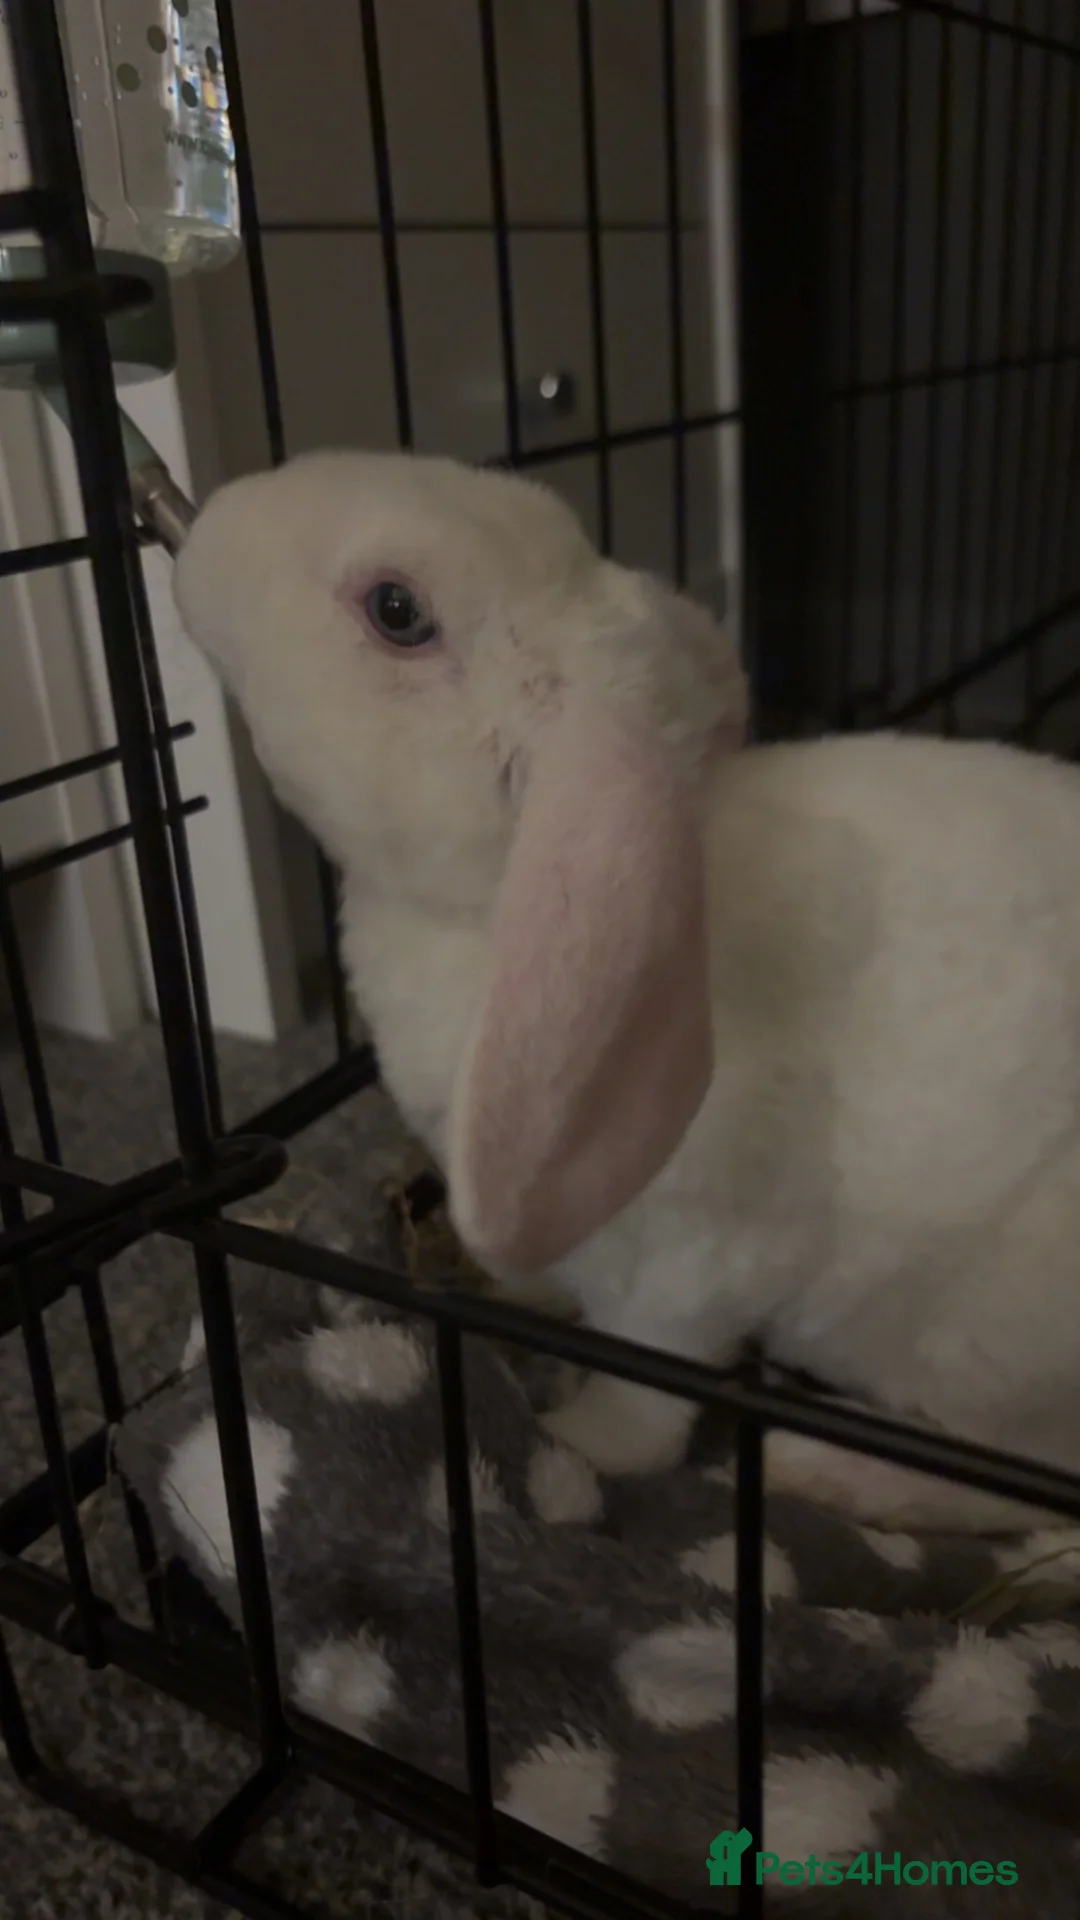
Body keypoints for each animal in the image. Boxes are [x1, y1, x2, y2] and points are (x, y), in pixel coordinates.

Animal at [174, 447, 1080, 1534]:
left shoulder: (693, 1271)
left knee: (1024, 1486)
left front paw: (575, 1443)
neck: (492, 901)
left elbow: (645, 1394)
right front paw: (521, 1299)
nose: (211, 522)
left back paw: (822, 1471)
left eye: (396, 609)